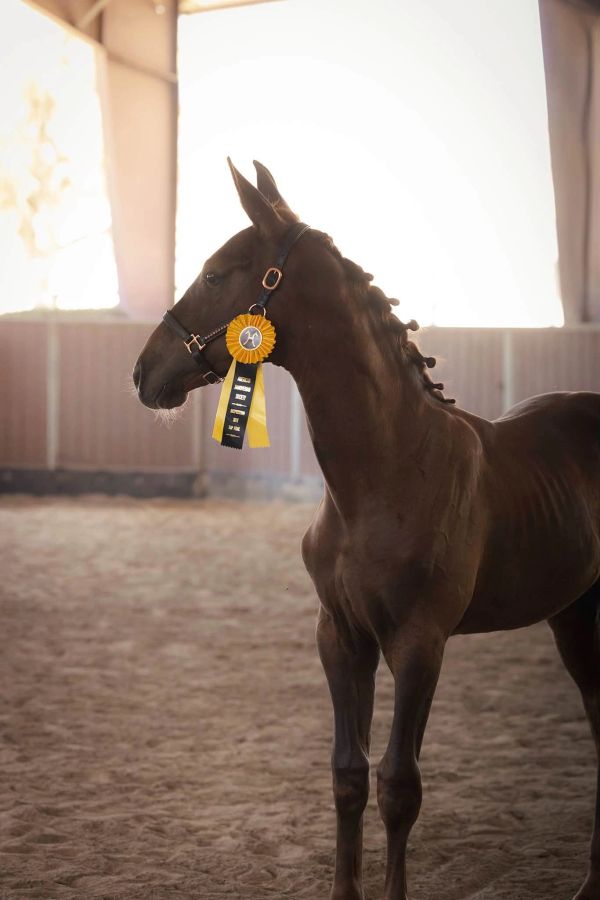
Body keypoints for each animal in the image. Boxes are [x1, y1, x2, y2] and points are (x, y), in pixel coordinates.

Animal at [133, 160, 600, 900]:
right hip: (574, 615)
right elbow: (348, 775)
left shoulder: (419, 644)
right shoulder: (342, 635)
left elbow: (399, 785)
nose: (143, 373)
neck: (388, 470)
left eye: (214, 274)